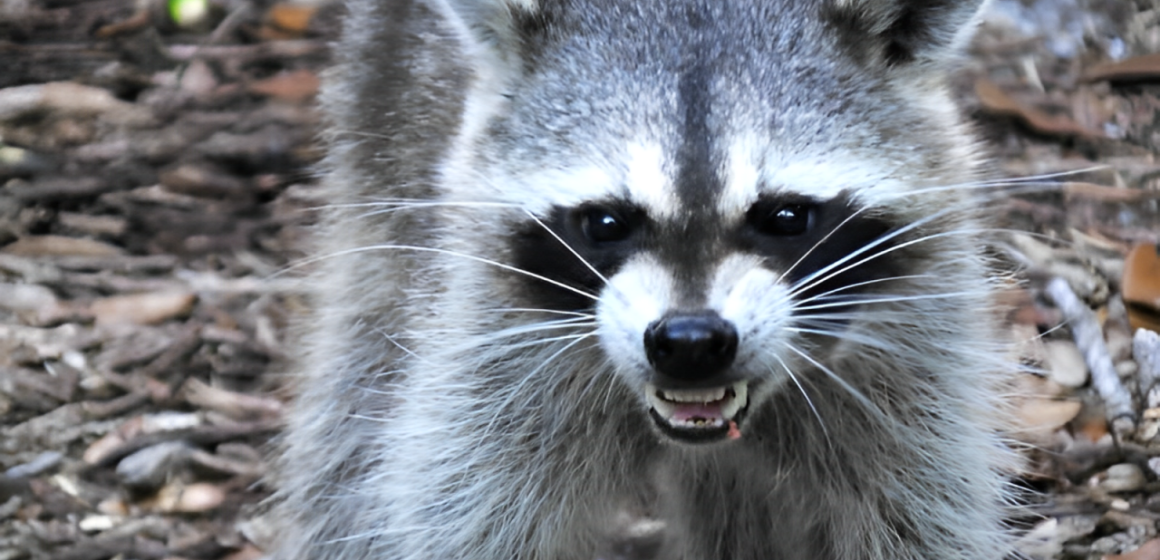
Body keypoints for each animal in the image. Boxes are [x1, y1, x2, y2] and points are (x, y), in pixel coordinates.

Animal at [269, 1, 1016, 560]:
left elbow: (921, 513)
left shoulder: (913, 348)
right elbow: (459, 507)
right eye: (605, 222)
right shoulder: (493, 347)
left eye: (784, 216)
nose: (690, 341)